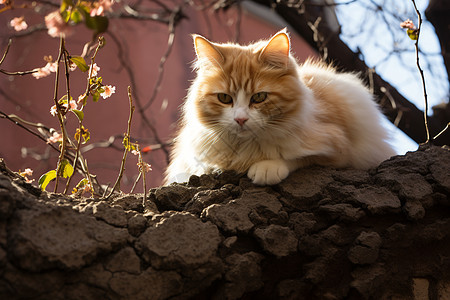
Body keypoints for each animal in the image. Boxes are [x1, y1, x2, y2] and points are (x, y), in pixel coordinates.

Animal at [163, 28, 396, 185]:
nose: (240, 119)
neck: (244, 147)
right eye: (224, 98)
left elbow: (298, 158)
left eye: (259, 97)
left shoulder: (338, 147)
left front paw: (267, 167)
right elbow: (202, 166)